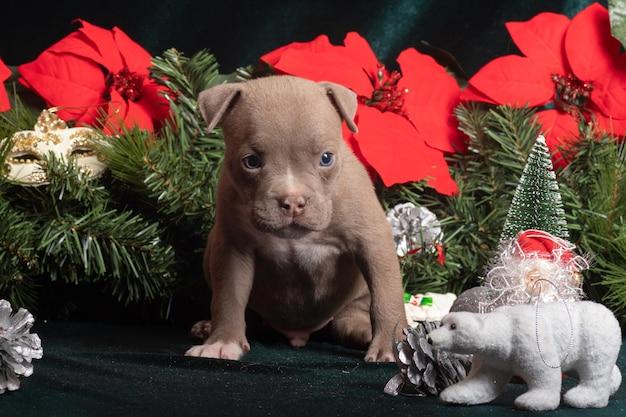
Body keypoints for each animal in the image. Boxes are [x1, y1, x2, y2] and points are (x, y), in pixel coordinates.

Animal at [185, 75, 404, 360]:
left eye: (326, 158)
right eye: (251, 162)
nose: (293, 202)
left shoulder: (372, 241)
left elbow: (386, 295)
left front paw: (392, 346)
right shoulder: (233, 247)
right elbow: (228, 296)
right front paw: (222, 342)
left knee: (351, 317)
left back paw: (365, 330)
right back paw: (208, 327)